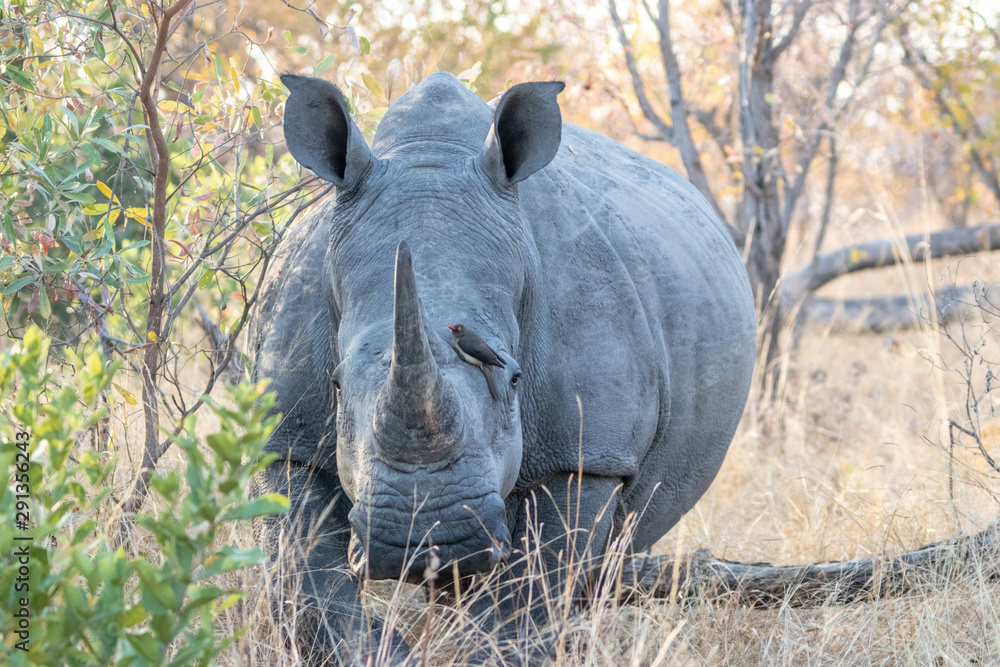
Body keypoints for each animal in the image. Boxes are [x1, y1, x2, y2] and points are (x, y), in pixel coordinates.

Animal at [250, 71, 756, 662]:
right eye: (335, 385)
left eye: (516, 381)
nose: (430, 539)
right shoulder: (288, 437)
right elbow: (308, 582)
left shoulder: (585, 453)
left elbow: (532, 596)